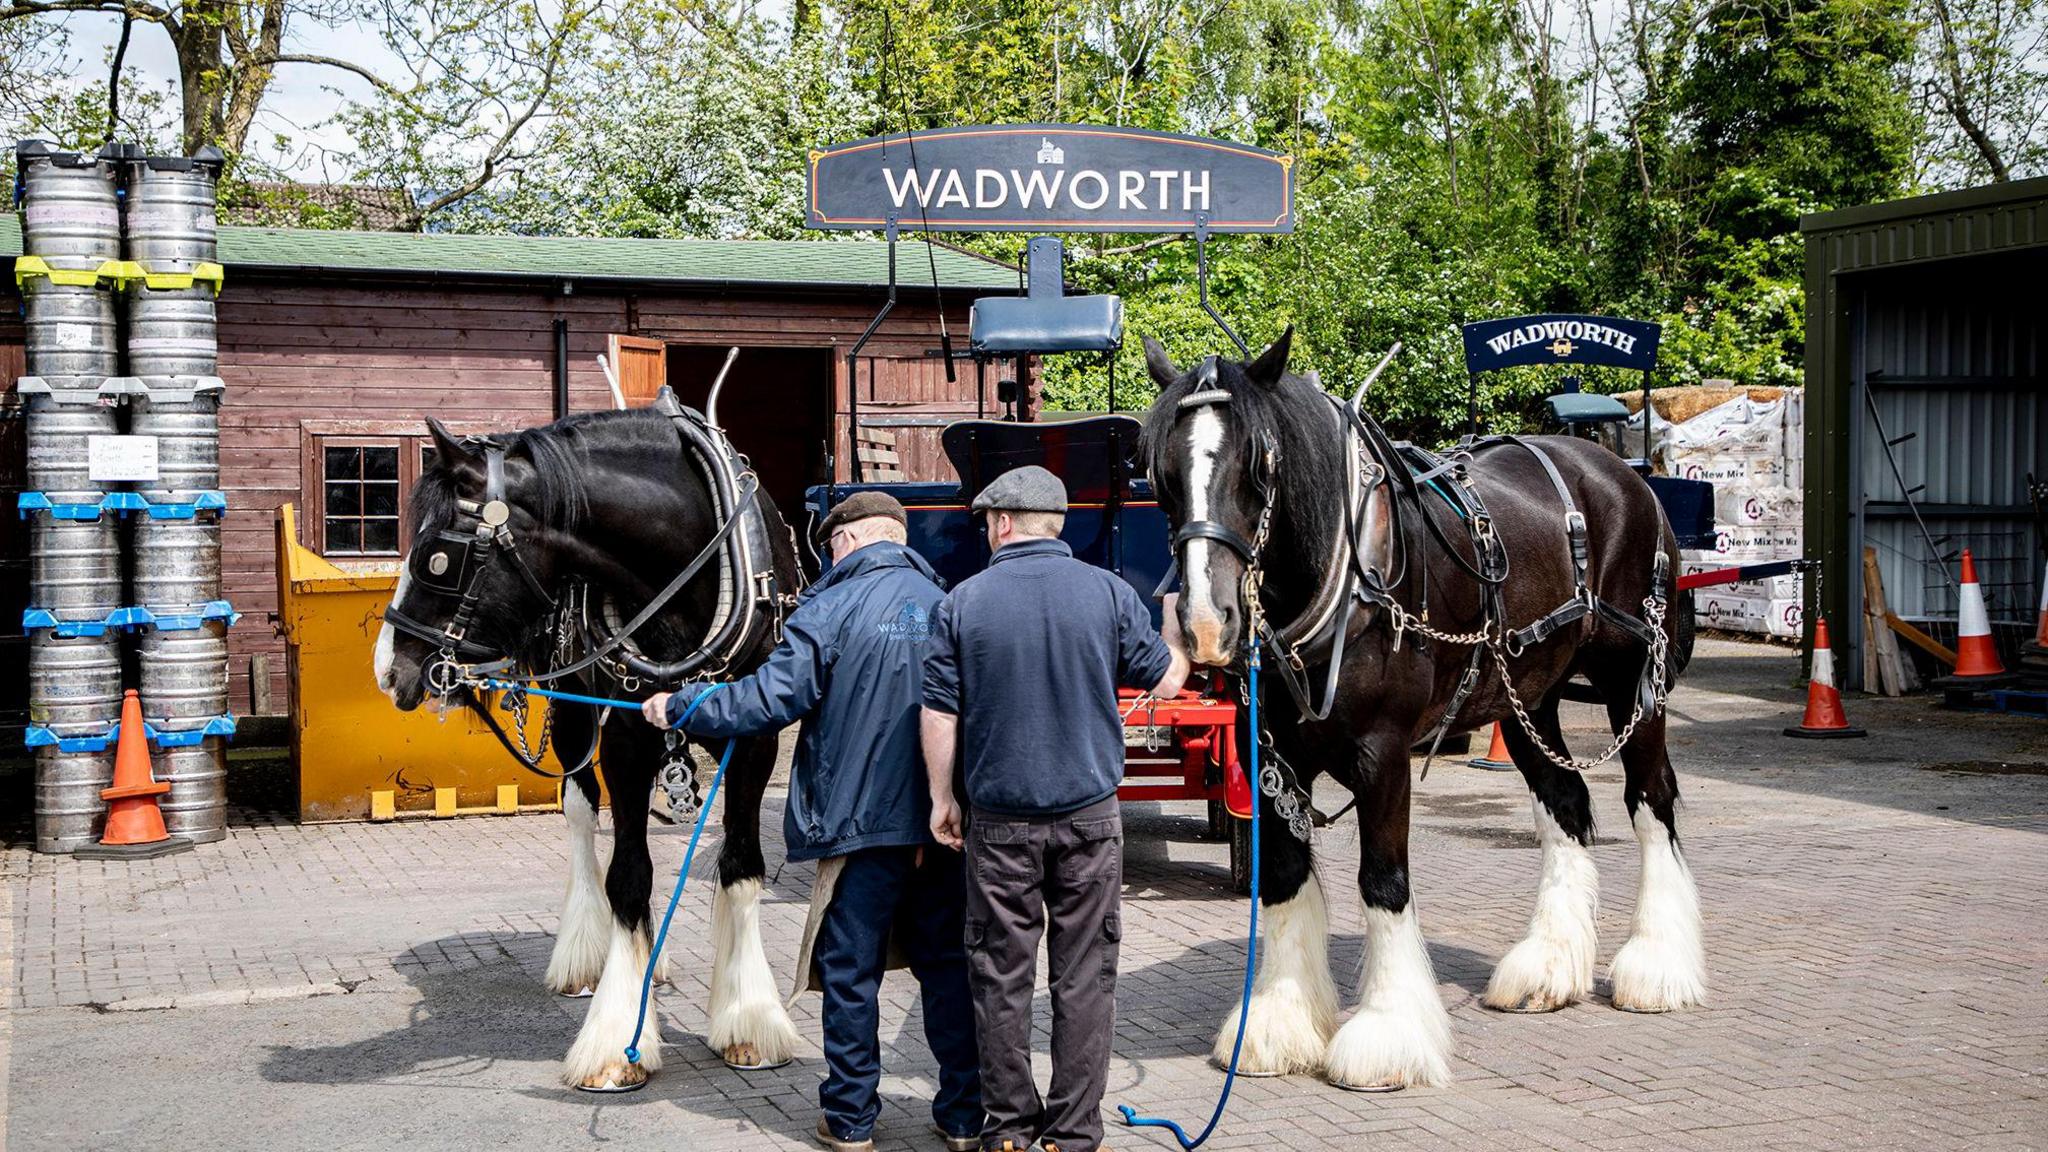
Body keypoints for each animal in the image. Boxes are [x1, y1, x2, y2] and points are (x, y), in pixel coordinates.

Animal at [376, 409, 798, 1082]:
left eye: (439, 556)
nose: (387, 670)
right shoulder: (626, 738)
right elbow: (627, 875)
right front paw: (617, 1037)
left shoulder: (755, 737)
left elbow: (739, 865)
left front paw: (749, 1020)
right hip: (572, 703)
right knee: (580, 810)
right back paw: (588, 954)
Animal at [1146, 330, 1703, 1082]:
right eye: (1161, 475)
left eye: (1261, 468)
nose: (1206, 622)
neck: (1345, 577)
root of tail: (1621, 472)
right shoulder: (1271, 751)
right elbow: (1285, 876)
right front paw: (1279, 1022)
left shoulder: (1382, 754)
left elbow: (1383, 880)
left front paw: (1388, 1034)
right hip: (1526, 698)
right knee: (1565, 801)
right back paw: (1548, 969)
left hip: (1631, 681)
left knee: (1651, 799)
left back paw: (1659, 967)